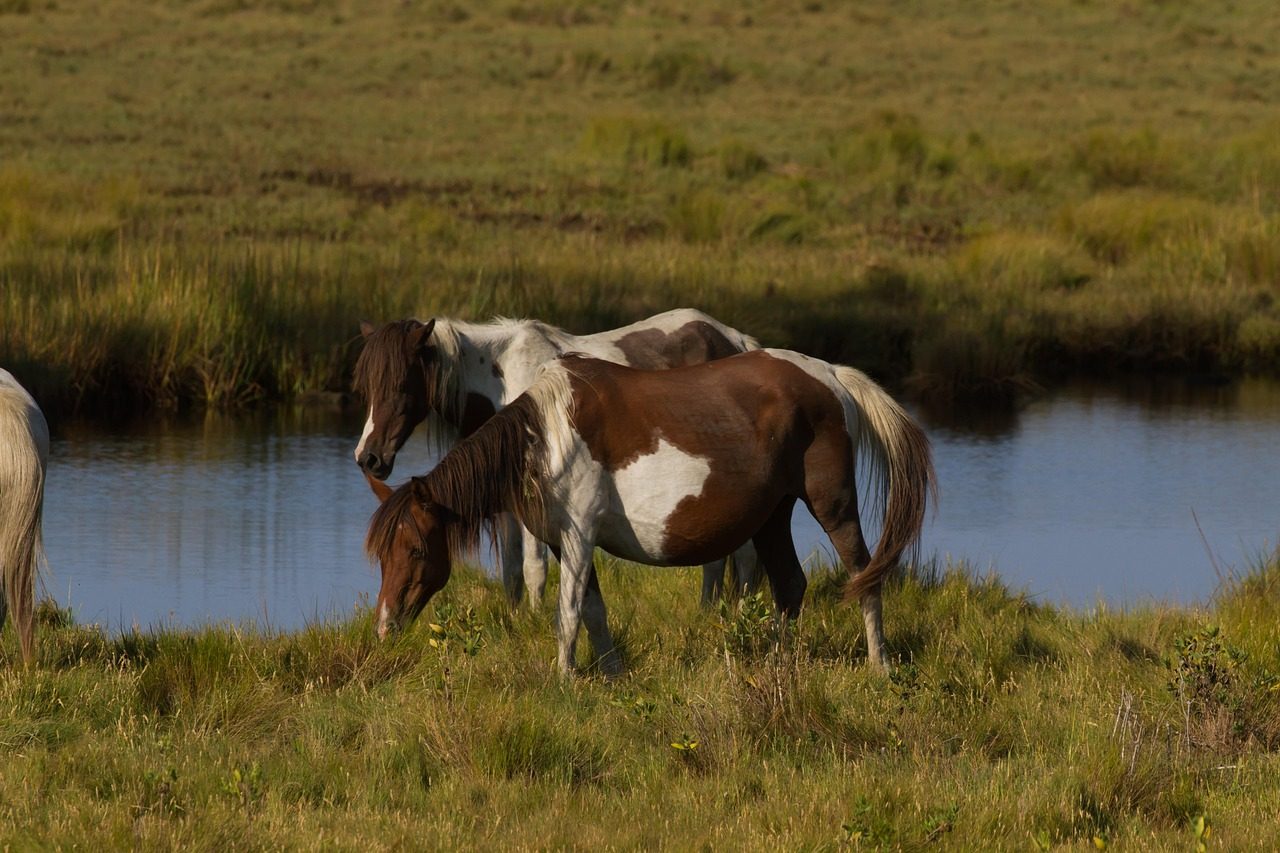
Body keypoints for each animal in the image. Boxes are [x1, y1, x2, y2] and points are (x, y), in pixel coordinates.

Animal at [353, 309, 762, 607]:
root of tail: (733, 338)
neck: (503, 380)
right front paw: (514, 621)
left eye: (401, 385)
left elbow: (534, 567)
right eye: (367, 387)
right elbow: (512, 571)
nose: (367, 458)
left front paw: (535, 620)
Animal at [364, 348, 935, 674]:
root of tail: (831, 377)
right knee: (791, 586)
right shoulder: (563, 542)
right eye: (382, 556)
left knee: (864, 575)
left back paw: (879, 665)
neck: (544, 435)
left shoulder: (578, 536)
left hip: (831, 504)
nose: (385, 627)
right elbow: (592, 610)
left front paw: (564, 679)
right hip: (773, 516)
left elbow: (568, 614)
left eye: (416, 549)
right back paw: (779, 665)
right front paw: (612, 674)